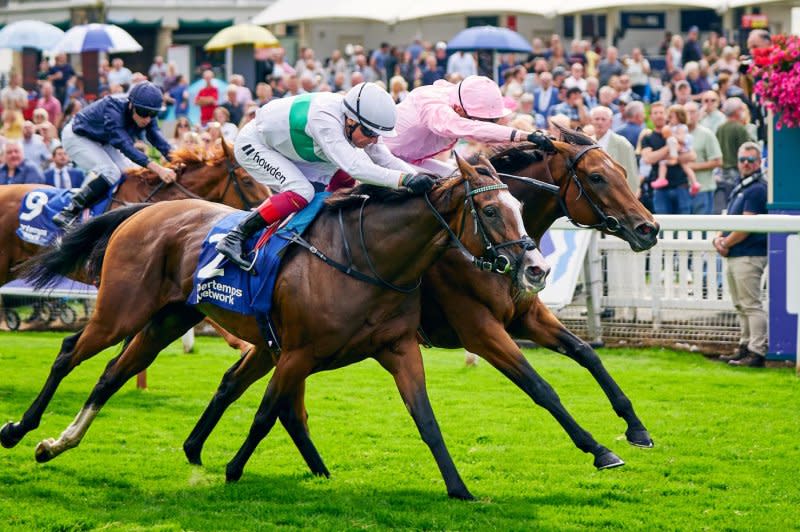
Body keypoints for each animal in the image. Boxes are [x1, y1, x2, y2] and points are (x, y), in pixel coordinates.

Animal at [0, 156, 548, 500]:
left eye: (521, 209)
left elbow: (426, 421)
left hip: (167, 318)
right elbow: (267, 414)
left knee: (112, 373)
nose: (535, 268)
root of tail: (145, 212)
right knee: (70, 352)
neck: (367, 256)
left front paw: (460, 489)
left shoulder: (396, 348)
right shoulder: (297, 351)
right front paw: (233, 469)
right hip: (121, 309)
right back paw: (21, 429)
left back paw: (58, 443)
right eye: (491, 209)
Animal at [184, 127, 660, 472]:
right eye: (597, 177)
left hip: (276, 343)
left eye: (623, 171)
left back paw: (194, 448)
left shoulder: (526, 315)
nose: (649, 228)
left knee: (234, 381)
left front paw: (636, 428)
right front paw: (598, 449)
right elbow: (540, 386)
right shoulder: (480, 329)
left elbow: (586, 353)